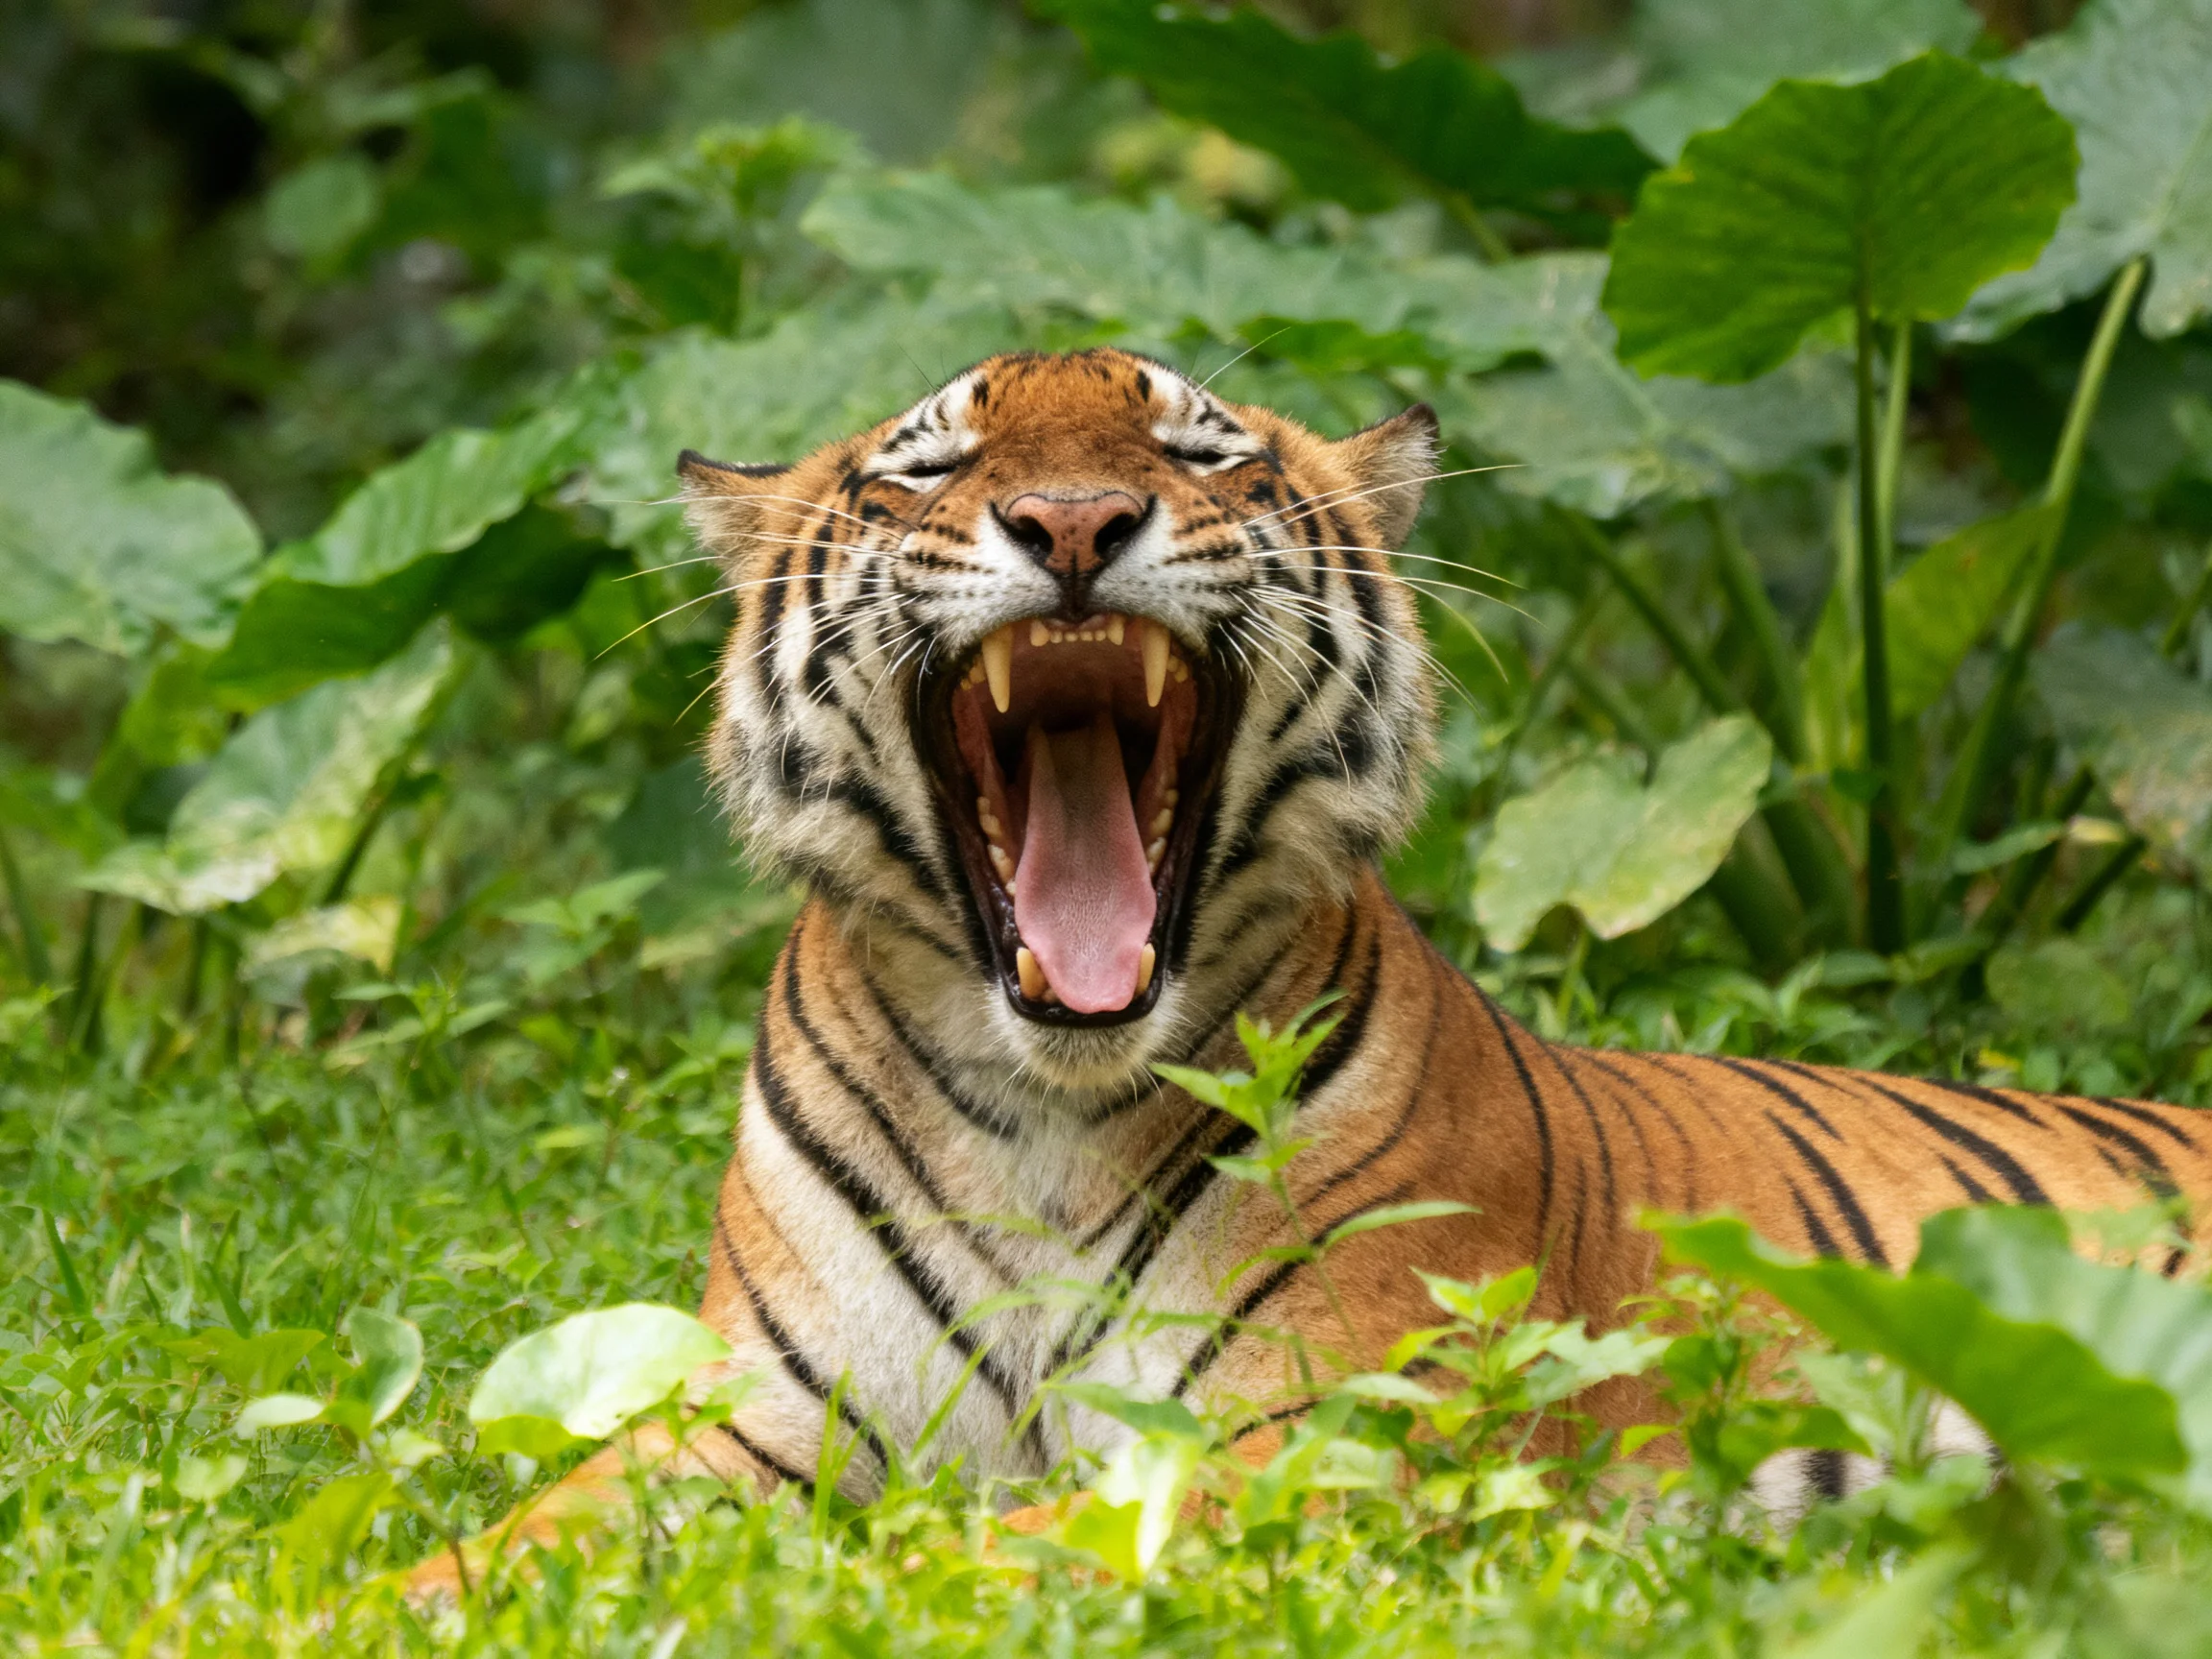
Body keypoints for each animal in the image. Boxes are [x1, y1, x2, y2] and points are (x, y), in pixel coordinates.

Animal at [410, 346, 2212, 1593]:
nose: (1073, 523)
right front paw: (383, 1597)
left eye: (1196, 447)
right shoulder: (762, 1419)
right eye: (935, 460)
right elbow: (515, 1534)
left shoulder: (1297, 1436)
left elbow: (970, 1547)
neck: (1038, 1105)